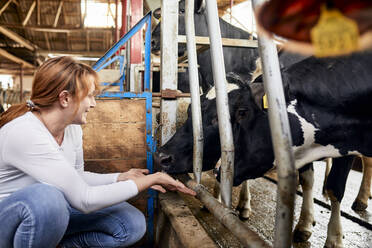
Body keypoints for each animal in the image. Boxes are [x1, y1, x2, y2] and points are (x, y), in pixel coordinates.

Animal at [155, 51, 372, 247]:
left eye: (241, 112)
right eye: (191, 110)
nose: (161, 156)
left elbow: (335, 188)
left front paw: (334, 238)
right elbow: (306, 179)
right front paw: (303, 224)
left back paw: (361, 199)